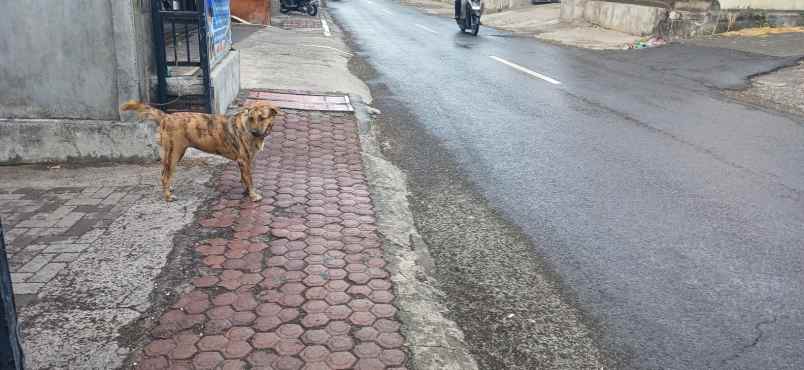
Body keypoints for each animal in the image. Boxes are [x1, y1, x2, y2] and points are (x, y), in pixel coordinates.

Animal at [121, 99, 280, 201]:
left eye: (262, 117)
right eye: (251, 118)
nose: (254, 132)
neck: (247, 126)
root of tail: (166, 117)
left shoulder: (244, 162)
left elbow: (244, 179)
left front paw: (246, 192)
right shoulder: (244, 160)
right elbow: (250, 179)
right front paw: (253, 195)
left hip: (173, 154)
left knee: (163, 173)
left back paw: (169, 189)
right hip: (174, 153)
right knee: (165, 176)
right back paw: (168, 197)